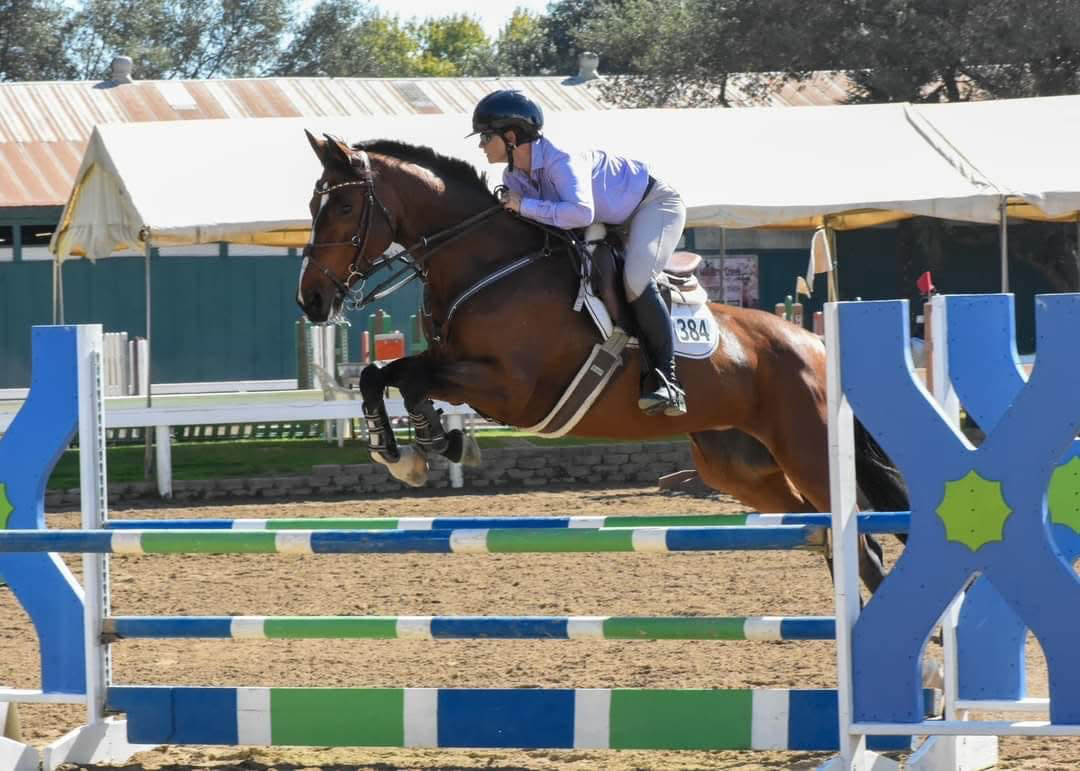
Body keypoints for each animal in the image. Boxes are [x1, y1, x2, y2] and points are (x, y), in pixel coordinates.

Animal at [297, 132, 908, 590]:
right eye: (311, 207)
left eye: (345, 207)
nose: (312, 300)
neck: (486, 261)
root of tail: (818, 346)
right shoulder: (455, 365)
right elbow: (384, 375)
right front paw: (409, 449)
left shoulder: (509, 390)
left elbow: (408, 377)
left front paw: (423, 447)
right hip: (739, 465)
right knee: (828, 536)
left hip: (807, 452)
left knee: (861, 547)